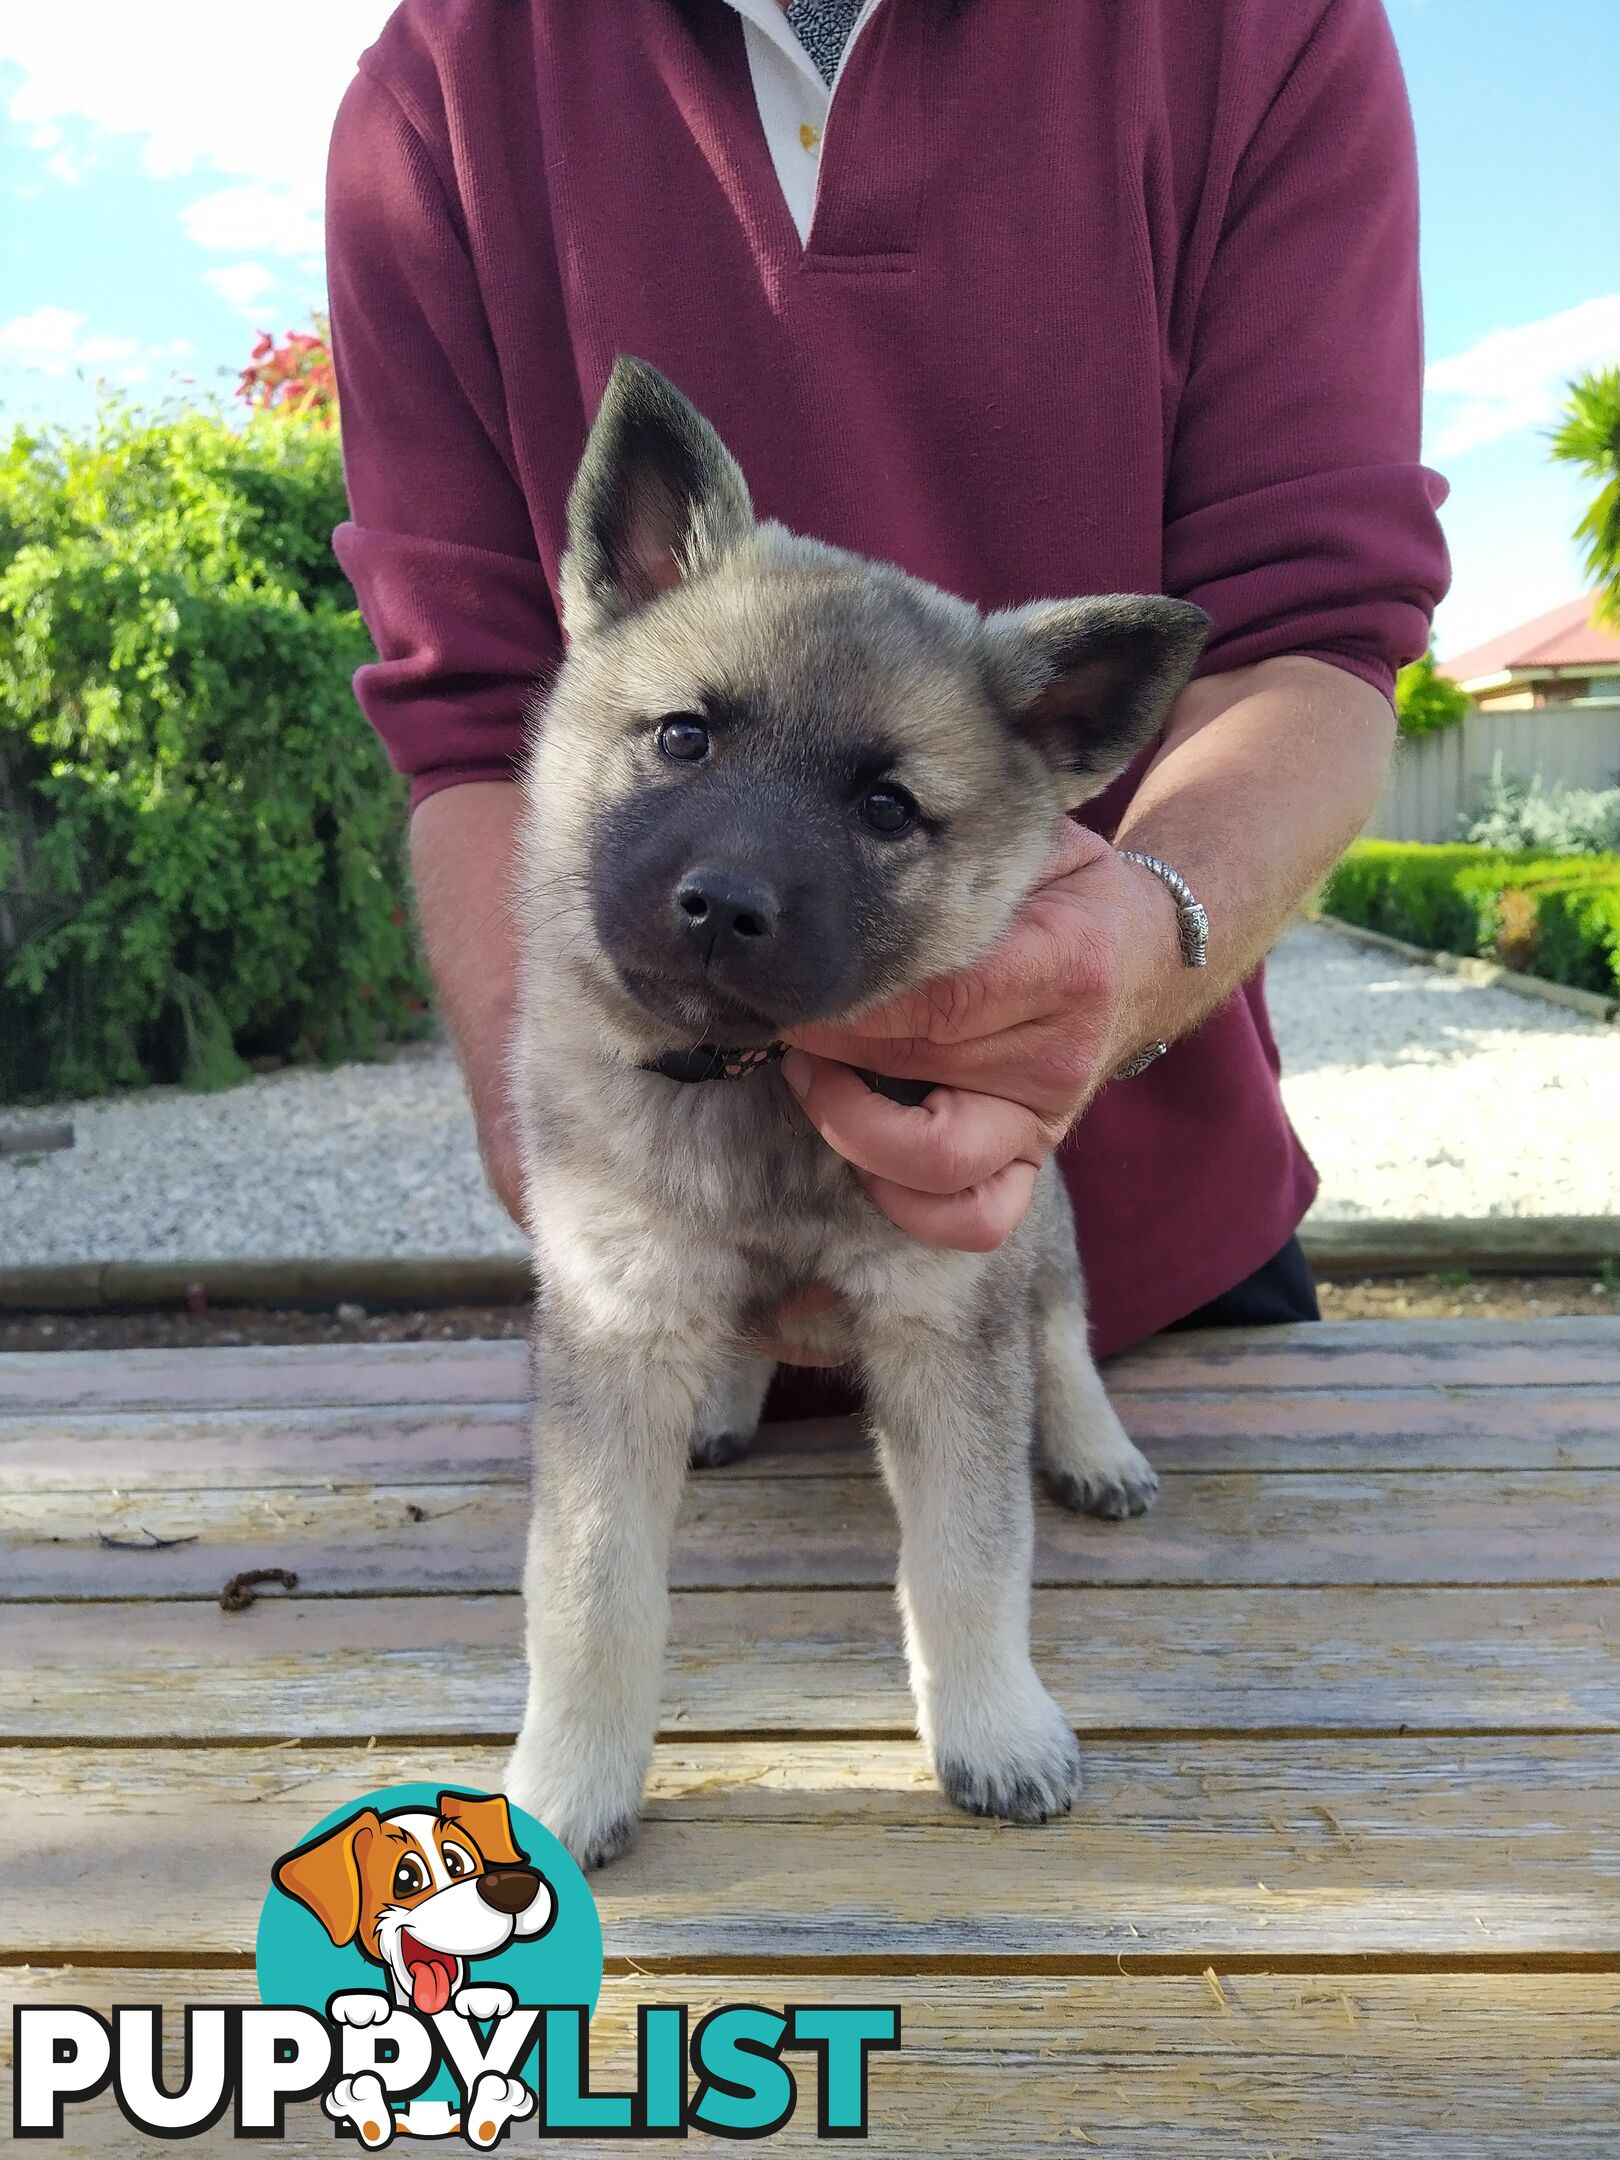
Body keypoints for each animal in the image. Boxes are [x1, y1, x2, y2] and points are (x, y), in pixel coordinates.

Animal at [505, 362, 1209, 1866]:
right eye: (685, 736)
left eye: (887, 807)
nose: (723, 905)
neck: (752, 1076)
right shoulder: (617, 1319)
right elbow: (590, 1595)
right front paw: (569, 1778)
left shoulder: (946, 1316)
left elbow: (969, 1556)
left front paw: (994, 1724)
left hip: (1032, 1227)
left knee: (1063, 1332)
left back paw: (1093, 1446)